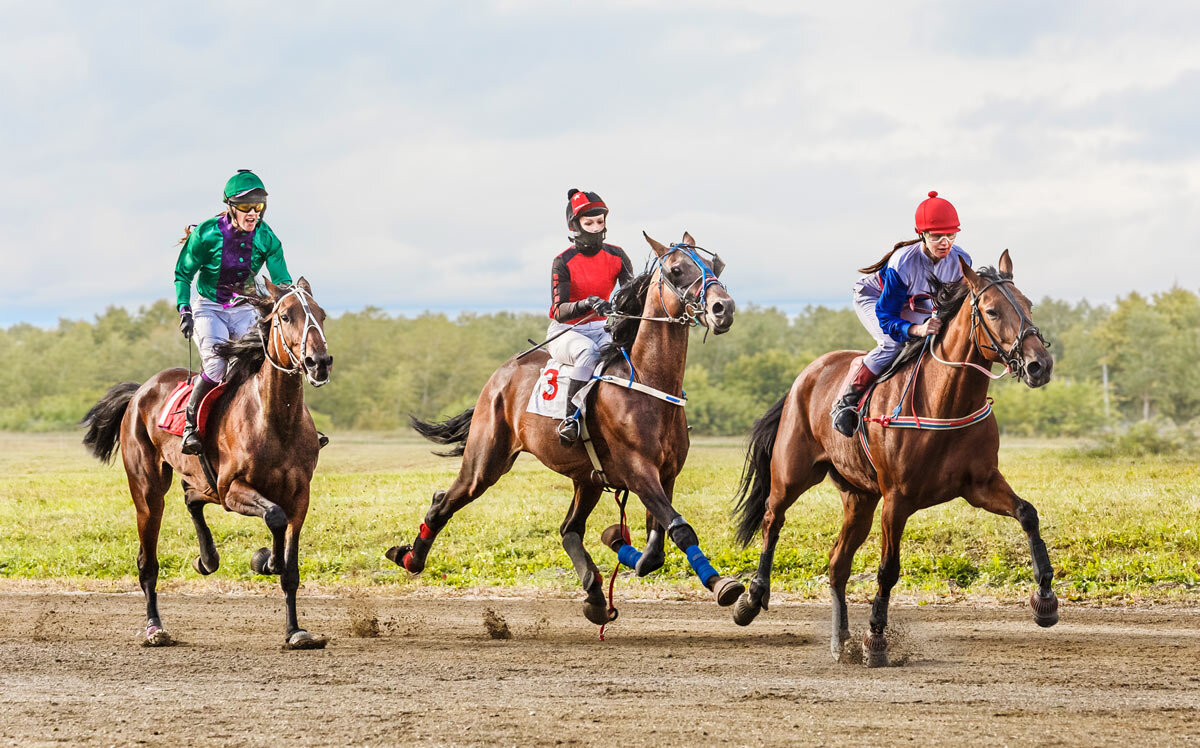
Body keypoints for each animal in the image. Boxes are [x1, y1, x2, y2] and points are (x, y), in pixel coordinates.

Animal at [81, 280, 333, 648]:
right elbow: (274, 516)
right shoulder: (232, 489)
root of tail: (140, 391)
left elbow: (290, 565)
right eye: (285, 316)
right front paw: (266, 560)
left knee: (192, 498)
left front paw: (295, 630)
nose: (319, 362)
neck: (275, 419)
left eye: (321, 313)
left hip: (199, 479)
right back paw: (155, 628)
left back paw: (207, 558)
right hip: (148, 490)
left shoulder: (300, 495)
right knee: (147, 561)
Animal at [384, 234, 744, 624]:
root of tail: (501, 374)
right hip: (485, 461)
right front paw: (723, 586)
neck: (648, 383)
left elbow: (655, 548)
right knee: (444, 501)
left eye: (717, 266)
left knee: (569, 529)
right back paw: (410, 557)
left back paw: (595, 595)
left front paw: (621, 544)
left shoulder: (667, 474)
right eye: (677, 269)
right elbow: (678, 529)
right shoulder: (638, 471)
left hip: (587, 479)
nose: (723, 308)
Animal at [729, 253, 1060, 667]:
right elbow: (888, 570)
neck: (944, 402)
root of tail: (804, 378)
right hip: (791, 475)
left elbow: (1027, 513)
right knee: (772, 521)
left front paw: (1045, 600)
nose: (1039, 365)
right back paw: (752, 598)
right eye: (992, 311)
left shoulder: (981, 484)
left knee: (837, 562)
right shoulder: (897, 498)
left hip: (859, 497)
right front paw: (876, 639)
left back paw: (841, 641)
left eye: (1028, 304)